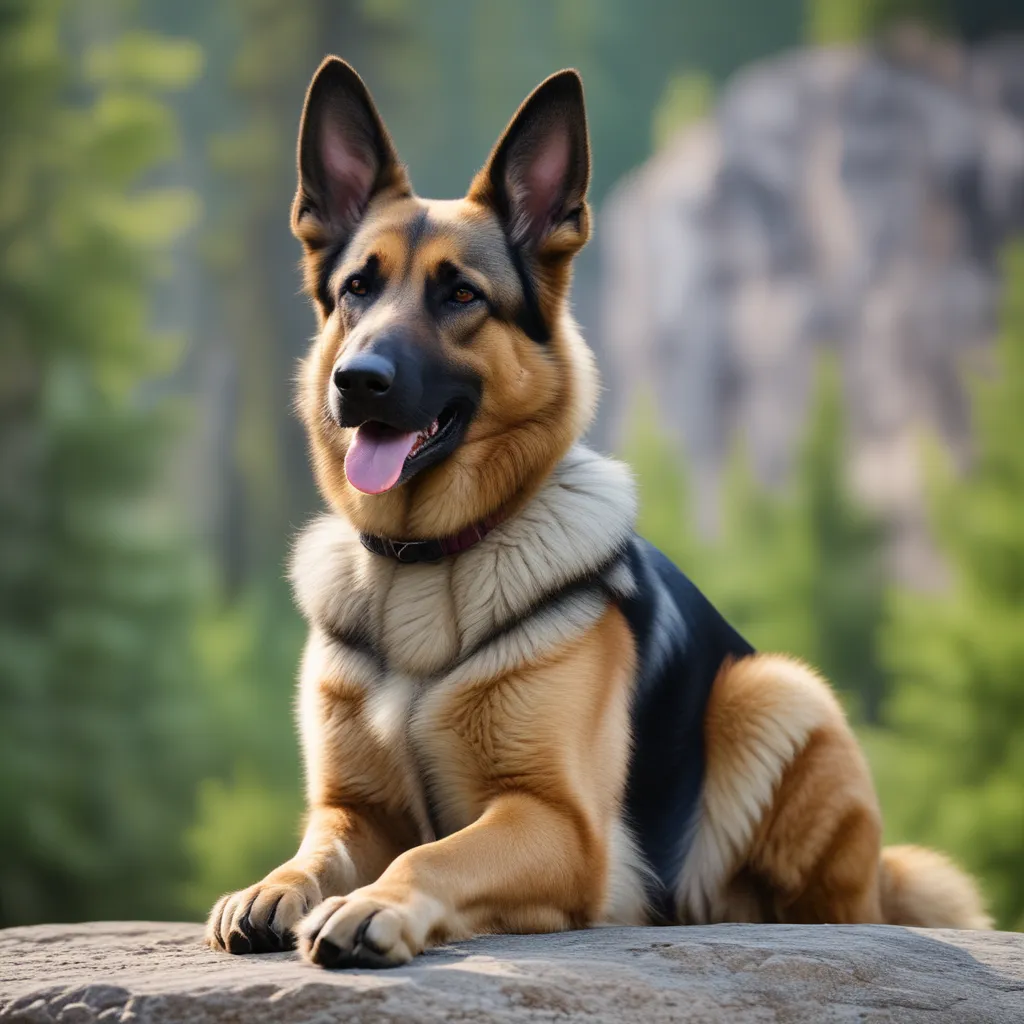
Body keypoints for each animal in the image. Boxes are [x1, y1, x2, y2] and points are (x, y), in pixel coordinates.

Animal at [203, 59, 987, 962]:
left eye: (460, 295)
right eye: (356, 289)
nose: (357, 382)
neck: (428, 561)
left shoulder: (559, 822)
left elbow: (433, 853)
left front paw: (374, 905)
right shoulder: (352, 809)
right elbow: (314, 851)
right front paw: (275, 887)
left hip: (777, 693)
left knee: (840, 904)